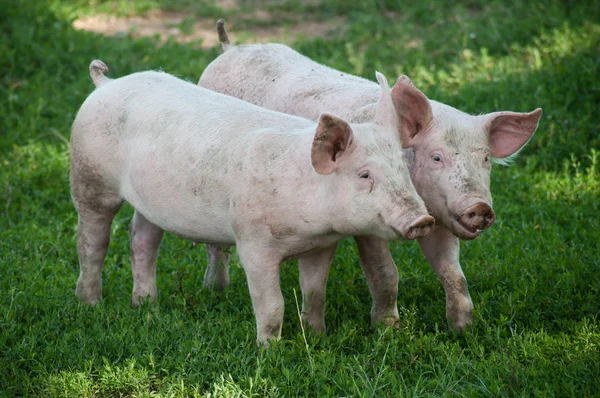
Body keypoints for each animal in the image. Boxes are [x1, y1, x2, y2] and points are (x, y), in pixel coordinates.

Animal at [71, 59, 436, 346]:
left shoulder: (322, 245)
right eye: (364, 175)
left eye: (402, 167)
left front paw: (317, 338)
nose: (423, 220)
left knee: (142, 240)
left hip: (149, 202)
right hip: (89, 178)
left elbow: (315, 293)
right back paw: (91, 304)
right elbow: (272, 304)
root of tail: (105, 84)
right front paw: (269, 351)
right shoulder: (253, 242)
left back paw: (146, 306)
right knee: (93, 242)